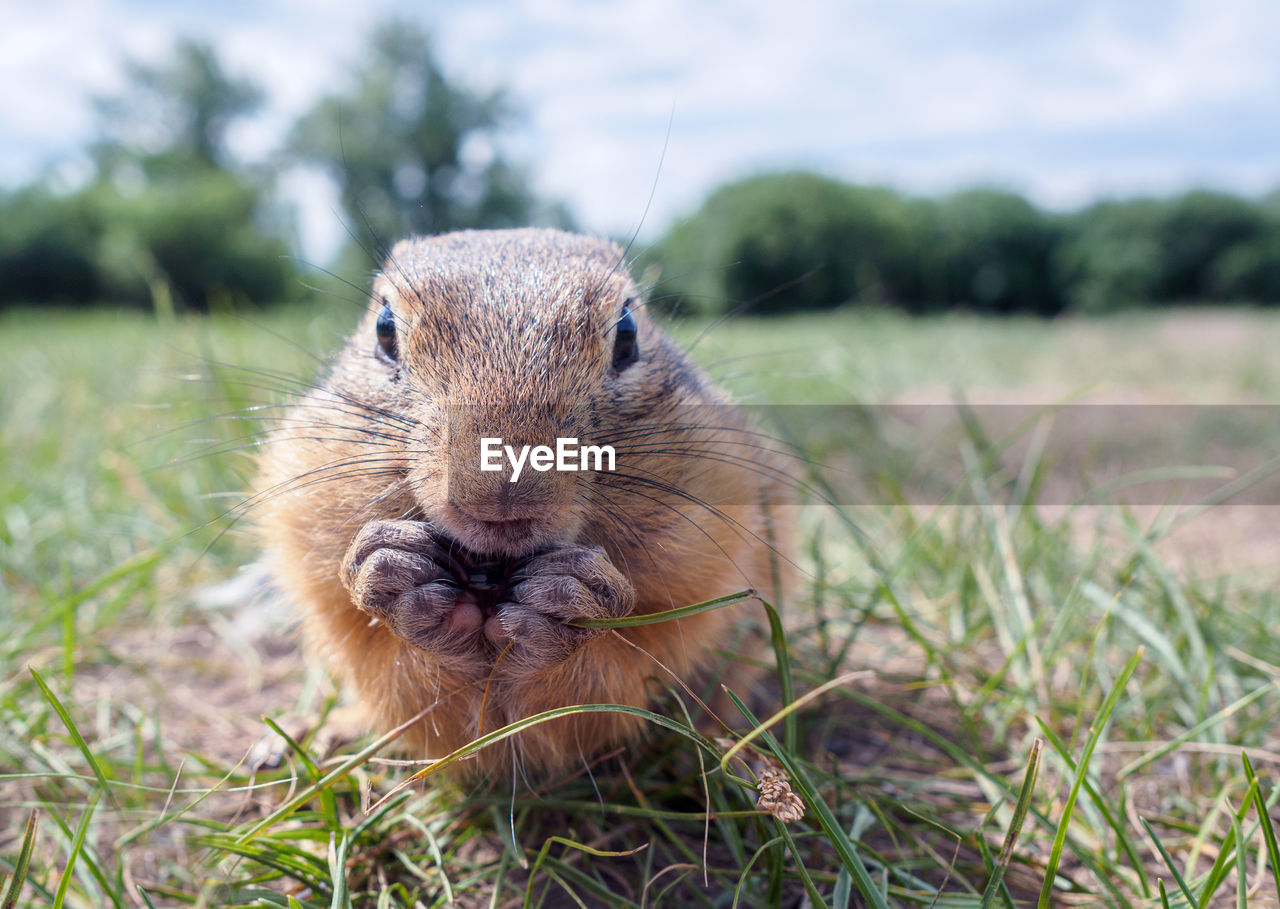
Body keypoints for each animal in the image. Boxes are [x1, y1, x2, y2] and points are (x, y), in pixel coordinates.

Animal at [250, 227, 788, 778]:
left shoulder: (703, 570)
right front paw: (395, 579)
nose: (501, 495)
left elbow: (609, 685)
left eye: (628, 332)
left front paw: (571, 601)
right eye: (383, 330)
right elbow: (414, 693)